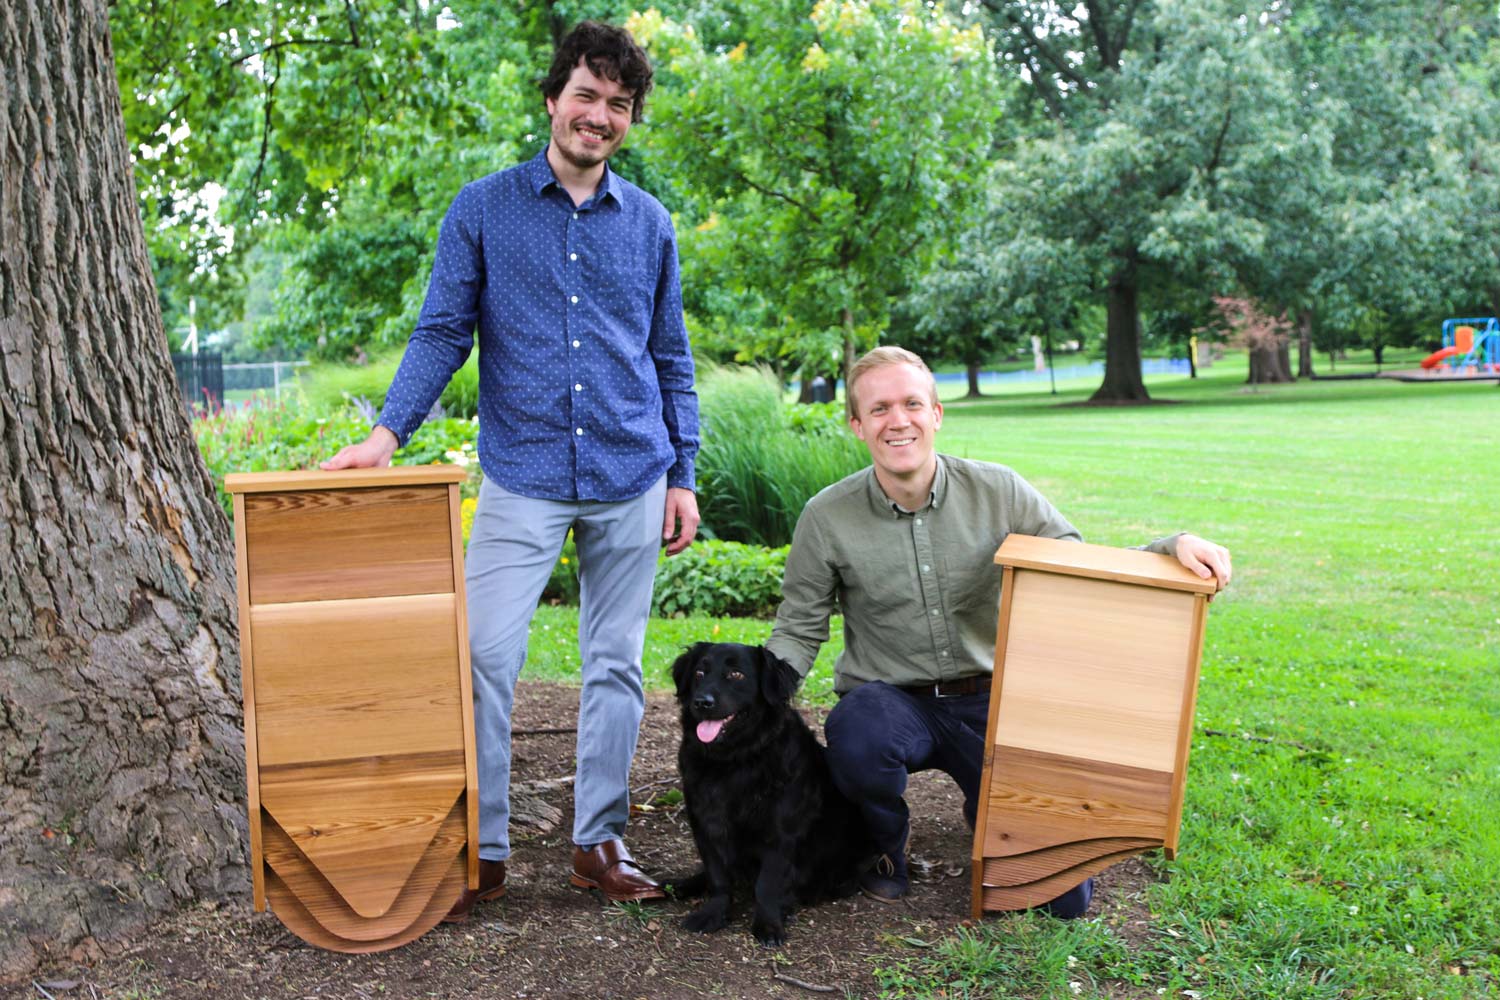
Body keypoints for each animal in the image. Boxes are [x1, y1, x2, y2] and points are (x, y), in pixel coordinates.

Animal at [669, 641, 870, 947]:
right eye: (699, 673)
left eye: (736, 675)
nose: (702, 702)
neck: (735, 760)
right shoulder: (704, 825)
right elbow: (718, 876)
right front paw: (713, 913)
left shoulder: (781, 833)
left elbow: (768, 884)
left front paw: (768, 924)